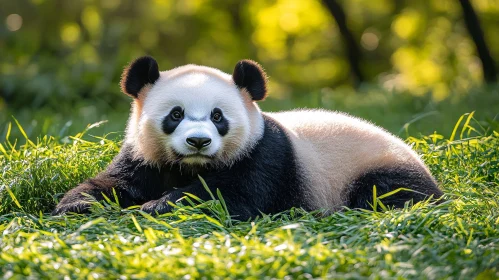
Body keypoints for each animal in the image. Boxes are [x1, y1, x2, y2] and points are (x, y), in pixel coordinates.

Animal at [53, 56, 446, 219]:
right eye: (175, 114)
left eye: (218, 116)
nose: (198, 142)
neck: (192, 166)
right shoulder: (146, 156)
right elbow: (117, 181)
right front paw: (76, 205)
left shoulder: (263, 154)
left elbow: (233, 196)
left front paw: (159, 205)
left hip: (374, 166)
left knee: (387, 192)